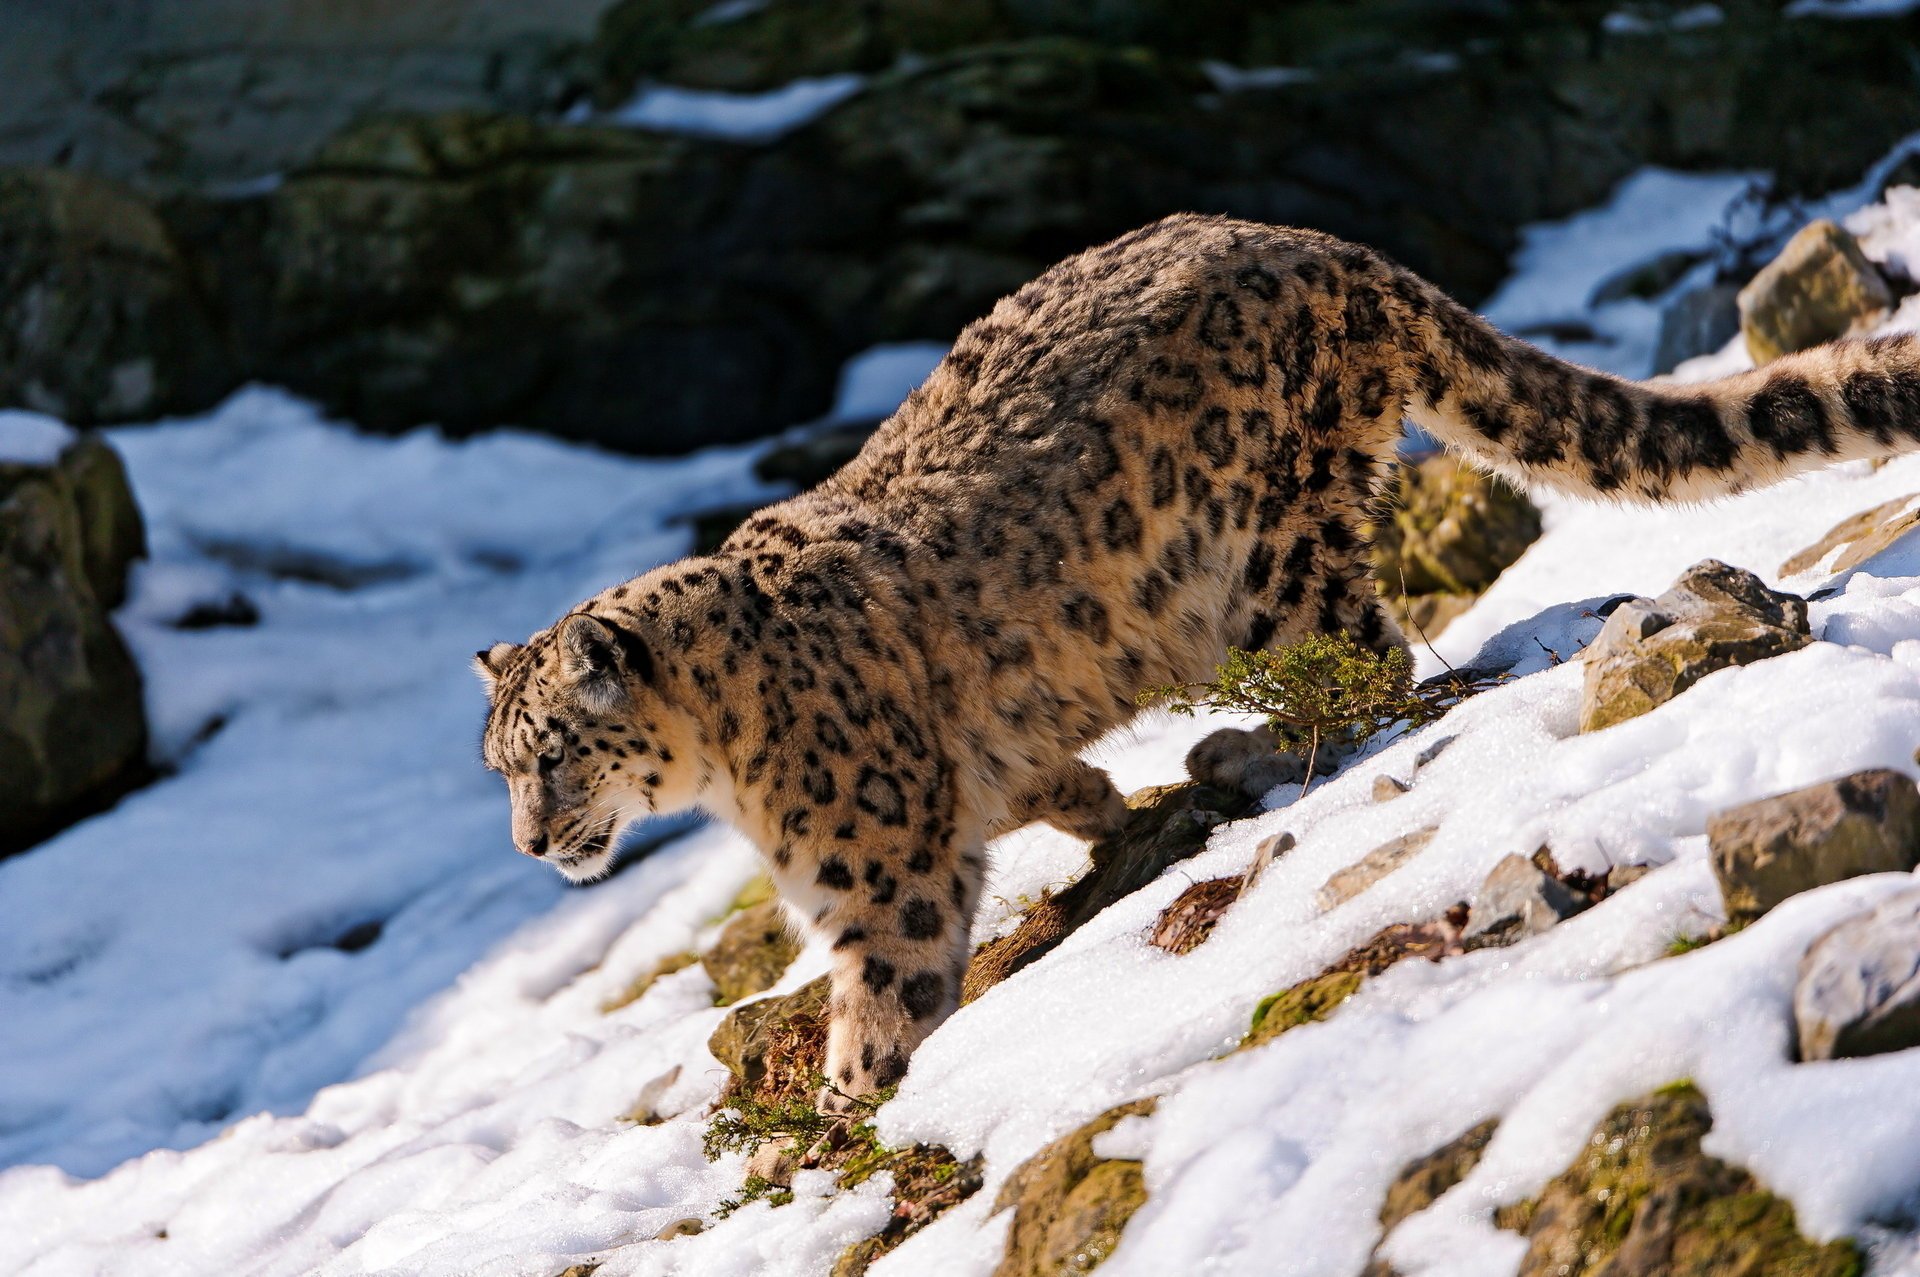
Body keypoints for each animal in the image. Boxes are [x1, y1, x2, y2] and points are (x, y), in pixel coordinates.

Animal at [472, 209, 1912, 1106]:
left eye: (555, 753)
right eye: (500, 766)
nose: (532, 844)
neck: (725, 764)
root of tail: (1325, 245)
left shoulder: (878, 870)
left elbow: (889, 978)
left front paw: (855, 1091)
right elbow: (1037, 779)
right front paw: (1096, 804)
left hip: (1271, 552)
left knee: (1370, 662)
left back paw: (1246, 743)